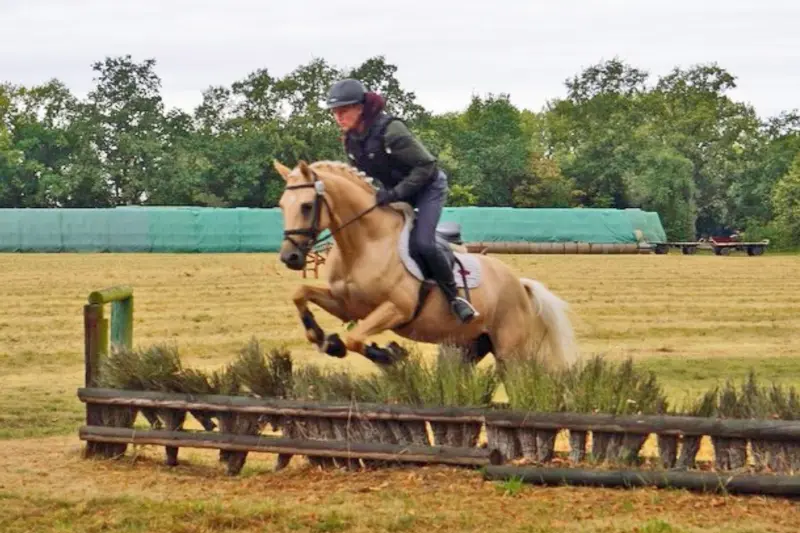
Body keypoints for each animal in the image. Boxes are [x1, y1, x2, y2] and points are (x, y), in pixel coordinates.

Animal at [272, 160, 580, 372]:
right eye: (282, 205)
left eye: (307, 206)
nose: (290, 257)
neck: (365, 244)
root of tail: (519, 284)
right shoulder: (346, 305)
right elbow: (300, 293)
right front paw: (317, 335)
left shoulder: (396, 308)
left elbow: (352, 339)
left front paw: (388, 355)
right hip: (467, 348)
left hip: (510, 351)